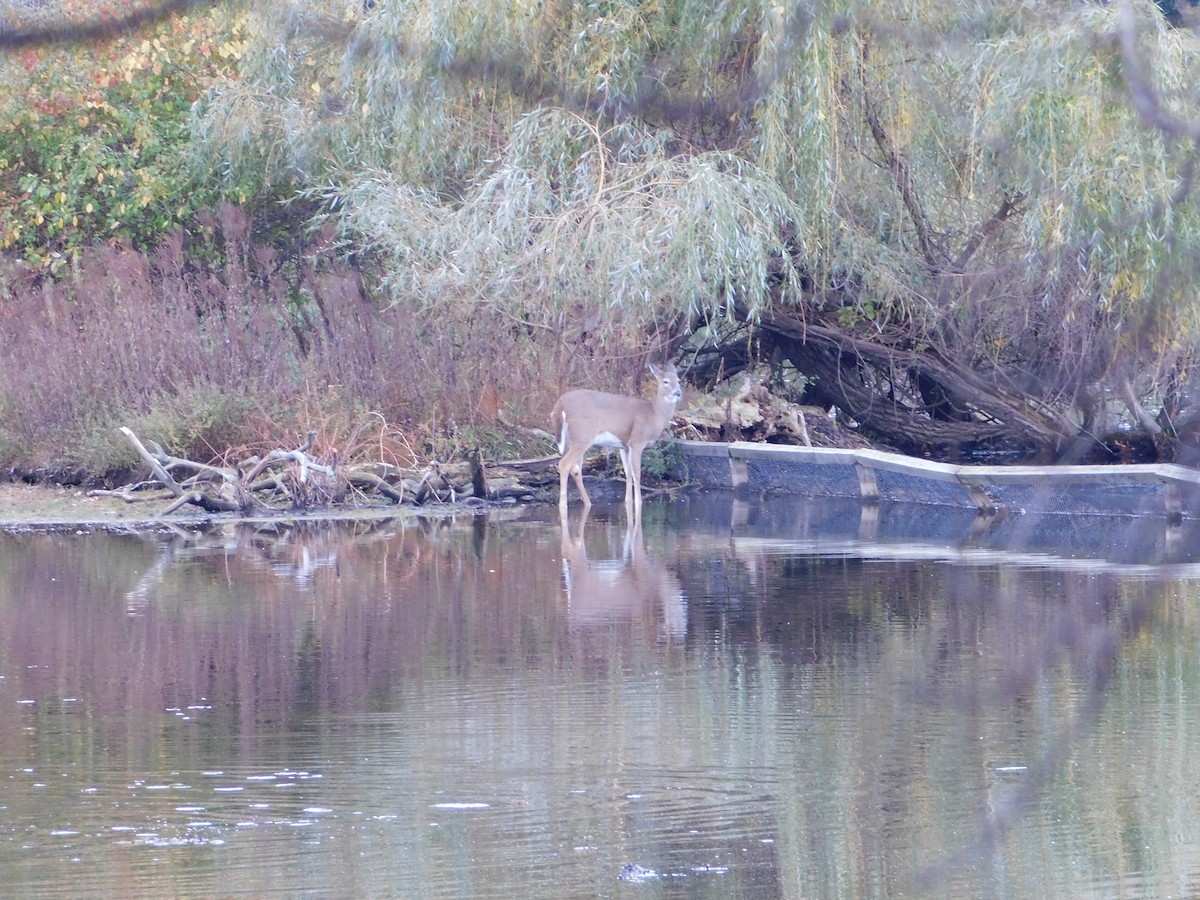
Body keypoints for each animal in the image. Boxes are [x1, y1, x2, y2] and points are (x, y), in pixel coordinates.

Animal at [551, 361, 683, 519]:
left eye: (679, 380)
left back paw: (588, 502)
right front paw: (638, 502)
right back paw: (563, 505)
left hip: (572, 439)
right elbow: (637, 472)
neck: (653, 415)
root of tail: (560, 404)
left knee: (576, 469)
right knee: (564, 464)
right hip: (582, 435)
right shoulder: (637, 440)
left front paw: (628, 501)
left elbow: (628, 472)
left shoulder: (624, 446)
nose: (678, 393)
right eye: (666, 382)